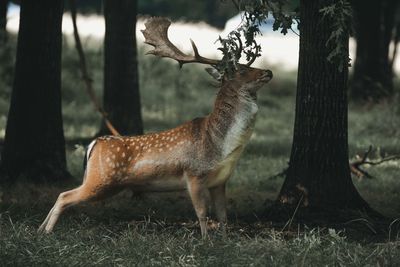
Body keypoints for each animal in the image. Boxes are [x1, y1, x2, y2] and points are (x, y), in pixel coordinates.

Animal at [38, 17, 272, 239]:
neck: (220, 146)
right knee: (65, 196)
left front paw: (224, 240)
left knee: (62, 194)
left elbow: (223, 216)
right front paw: (206, 241)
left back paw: (40, 229)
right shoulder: (193, 174)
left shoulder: (220, 181)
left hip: (100, 180)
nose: (268, 72)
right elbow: (202, 214)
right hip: (101, 179)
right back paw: (47, 232)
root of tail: (93, 144)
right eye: (241, 69)